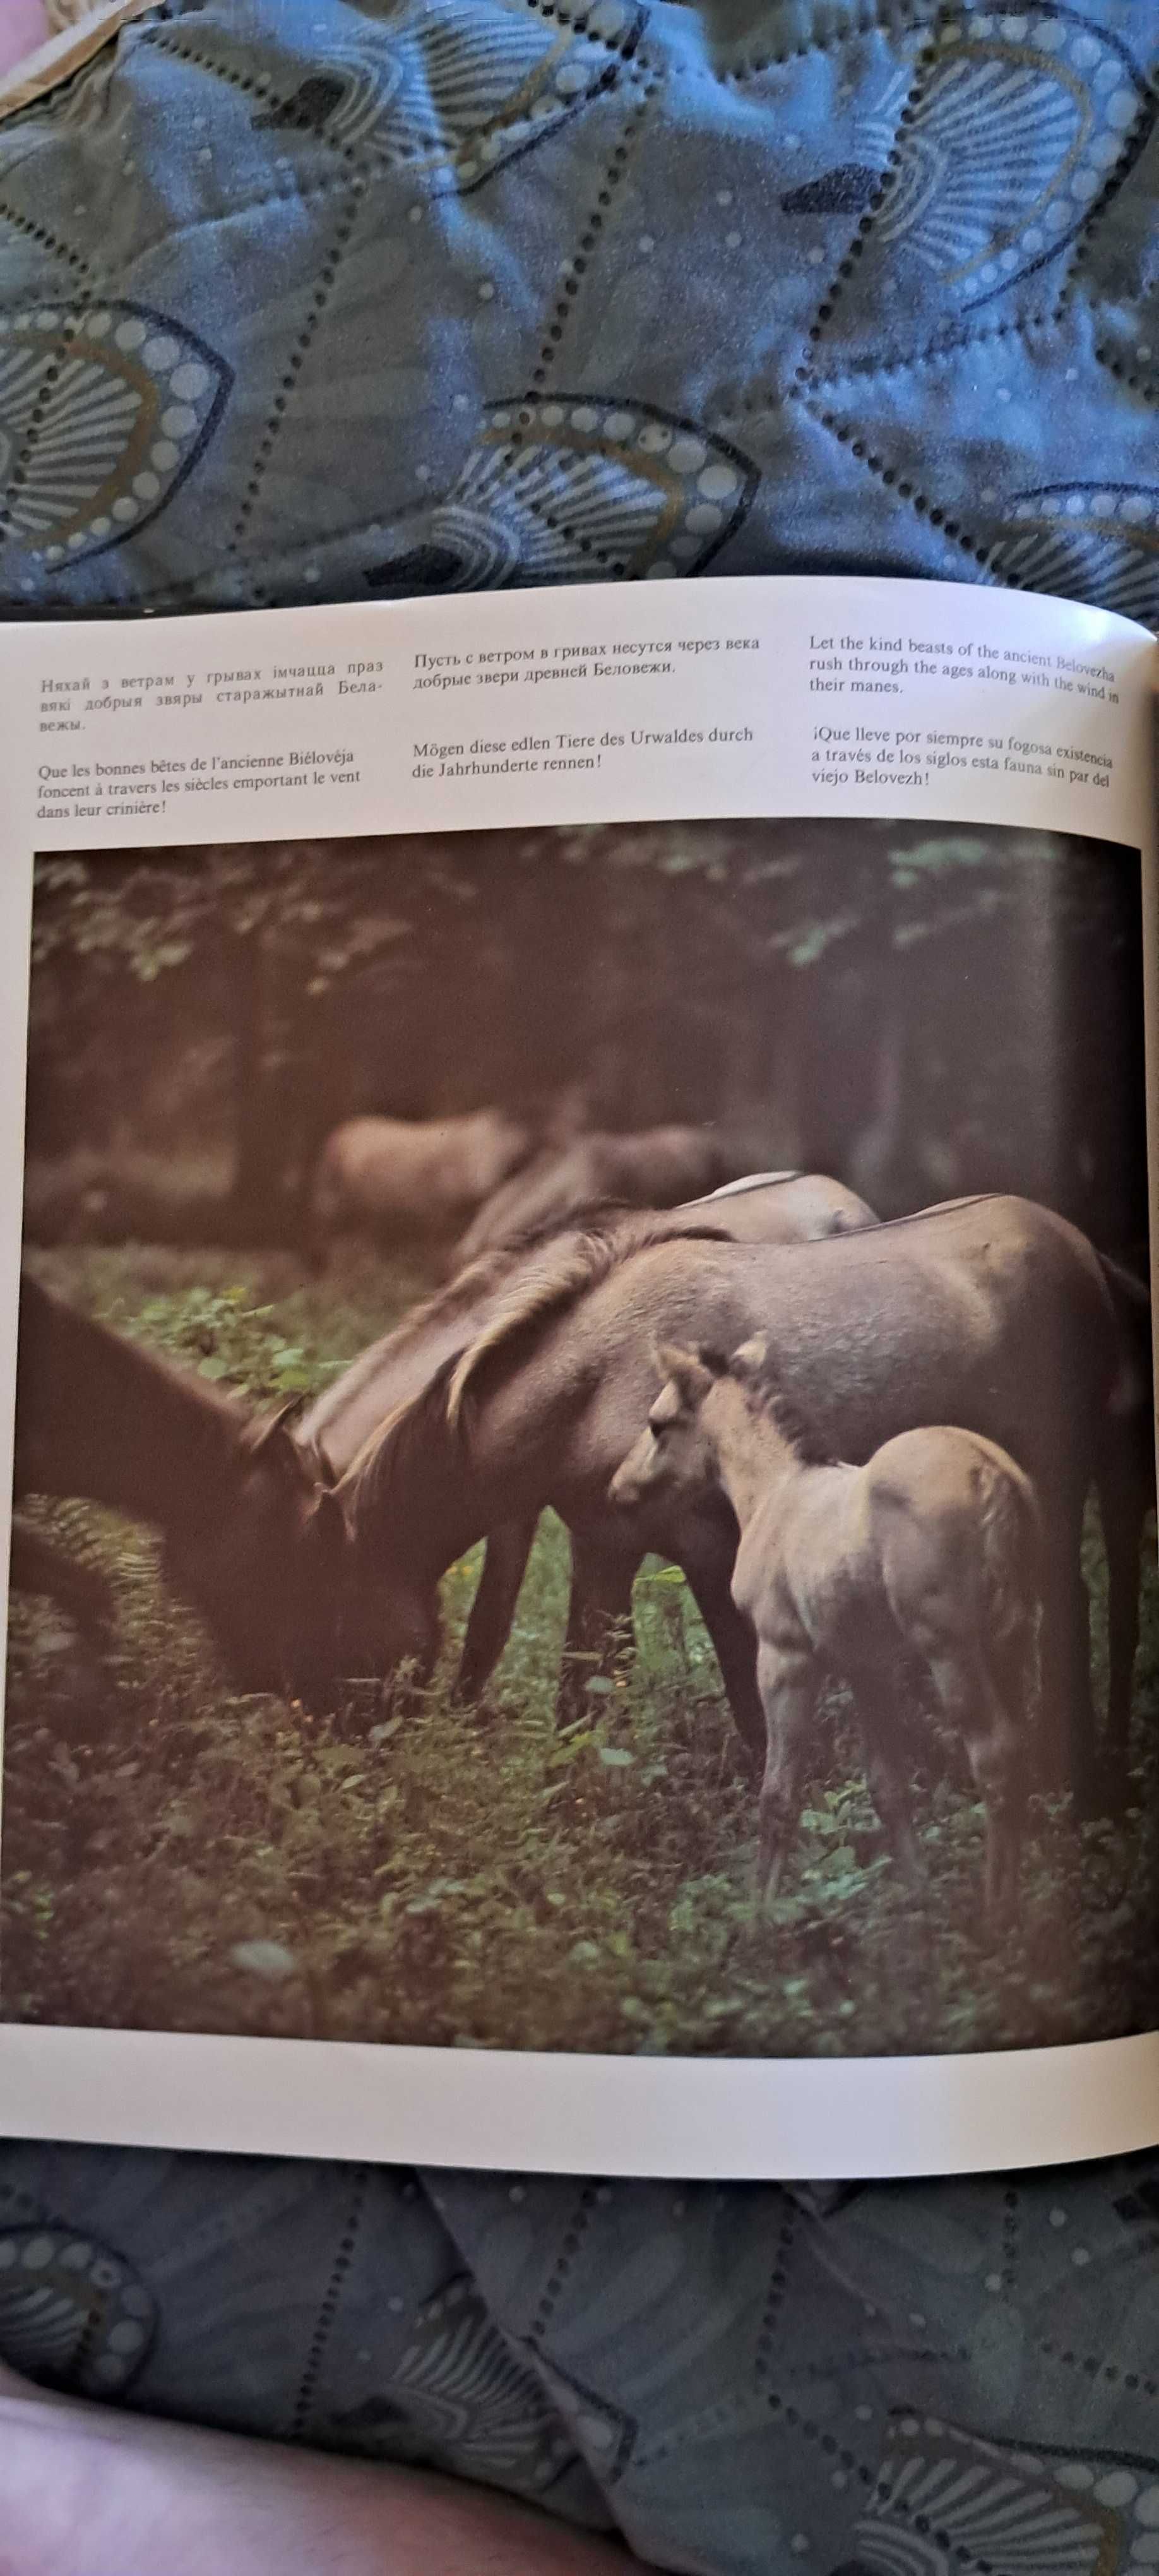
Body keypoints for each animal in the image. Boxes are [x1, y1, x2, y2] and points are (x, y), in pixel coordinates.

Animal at [610, 1339, 1045, 1926]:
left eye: (657, 1424)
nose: (617, 1489)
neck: (775, 1493)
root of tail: (991, 1472)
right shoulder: (868, 1665)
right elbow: (888, 1787)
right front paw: (918, 1896)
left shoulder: (784, 1659)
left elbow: (777, 1796)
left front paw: (759, 1920)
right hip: (1011, 1640)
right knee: (1020, 1751)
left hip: (951, 1648)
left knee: (995, 1757)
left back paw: (997, 1917)